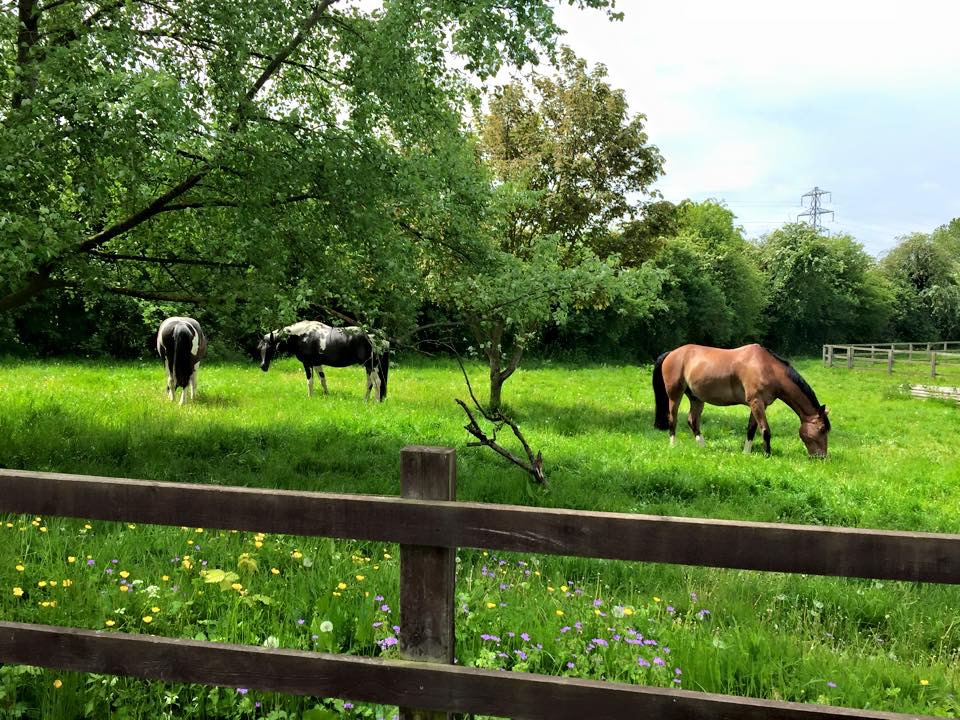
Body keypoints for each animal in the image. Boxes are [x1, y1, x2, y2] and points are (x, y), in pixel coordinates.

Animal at [258, 322, 390, 402]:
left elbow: (310, 382)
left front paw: (310, 397)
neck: (302, 335)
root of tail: (375, 337)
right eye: (260, 348)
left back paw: (376, 402)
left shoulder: (308, 364)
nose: (263, 366)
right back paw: (365, 401)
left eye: (269, 347)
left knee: (377, 382)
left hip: (371, 365)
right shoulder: (317, 364)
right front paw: (327, 395)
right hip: (368, 366)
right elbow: (322, 380)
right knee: (370, 383)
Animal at [656, 344, 828, 456]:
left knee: (692, 421)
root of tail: (671, 353)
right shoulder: (756, 402)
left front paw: (746, 453)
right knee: (673, 419)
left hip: (696, 398)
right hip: (675, 395)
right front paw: (768, 455)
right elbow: (765, 430)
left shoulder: (759, 405)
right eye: (821, 429)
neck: (768, 368)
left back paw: (703, 447)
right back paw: (673, 445)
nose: (822, 457)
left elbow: (751, 429)